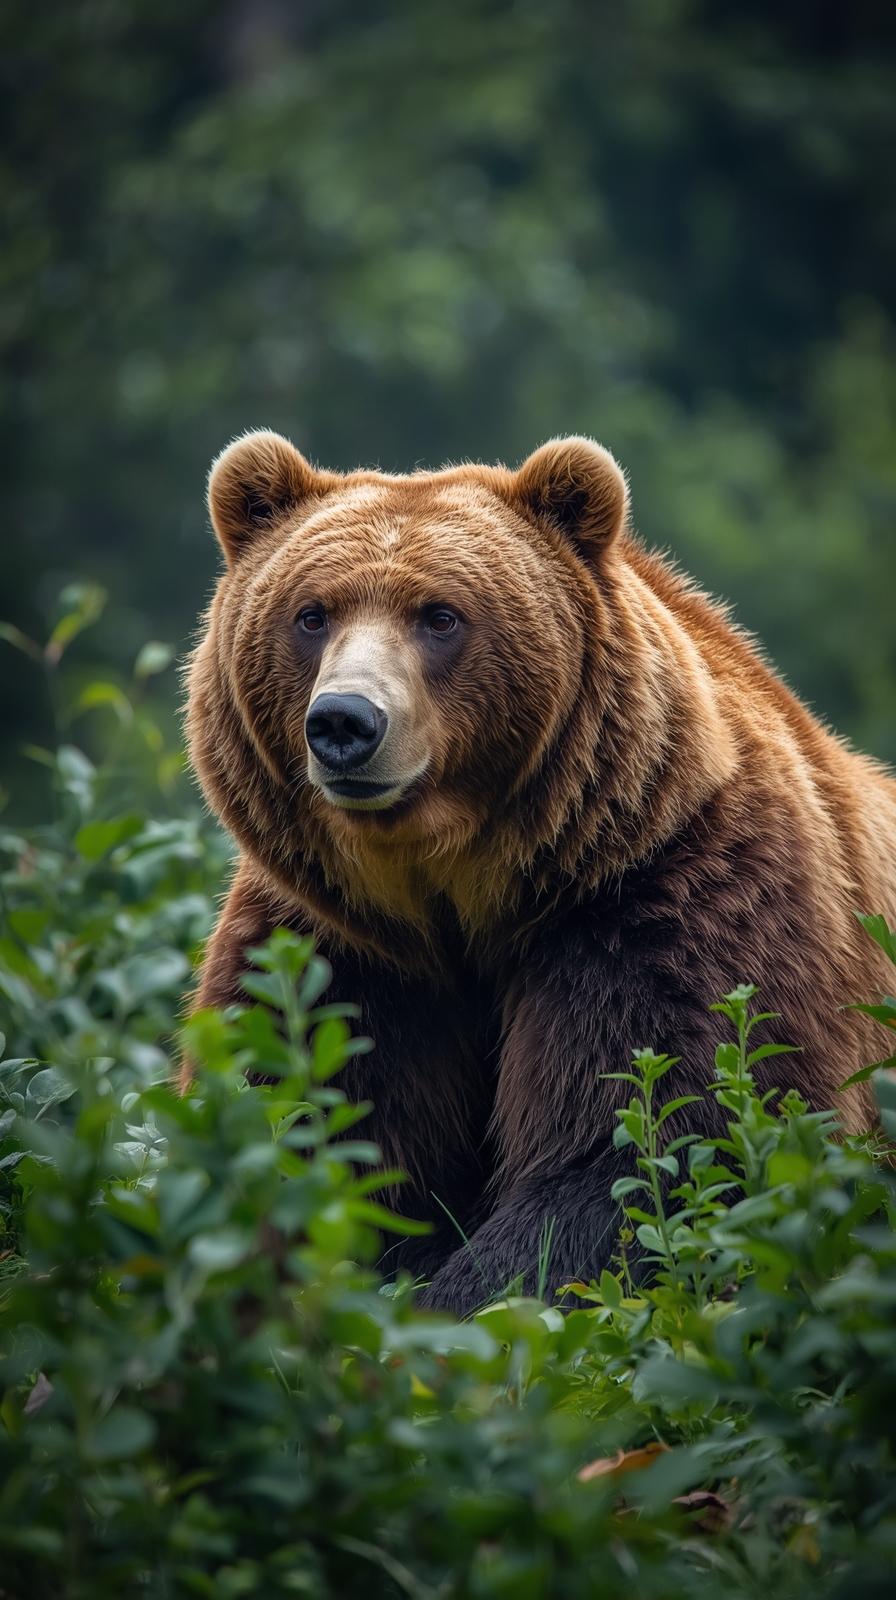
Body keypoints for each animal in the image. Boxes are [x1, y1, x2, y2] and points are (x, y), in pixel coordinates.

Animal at [185, 429, 896, 1316]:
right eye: (311, 614)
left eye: (441, 616)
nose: (345, 722)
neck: (458, 894)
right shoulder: (334, 946)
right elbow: (308, 1136)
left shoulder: (664, 905)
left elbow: (645, 1149)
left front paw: (456, 1304)